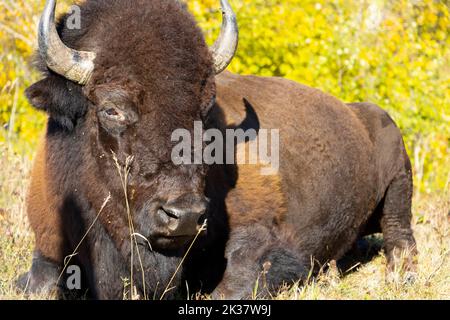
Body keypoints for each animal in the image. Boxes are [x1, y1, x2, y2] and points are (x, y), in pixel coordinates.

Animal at [19, 0, 416, 300]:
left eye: (203, 109)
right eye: (111, 108)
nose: (184, 215)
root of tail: (359, 111)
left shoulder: (267, 241)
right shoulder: (49, 245)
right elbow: (40, 283)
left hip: (398, 173)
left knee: (400, 234)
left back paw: (400, 274)